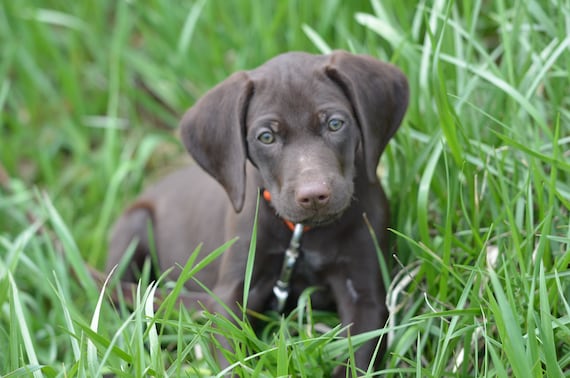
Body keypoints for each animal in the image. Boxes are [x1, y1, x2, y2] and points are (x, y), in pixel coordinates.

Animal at [106, 51, 406, 376]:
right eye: (266, 137)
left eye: (336, 124)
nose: (314, 195)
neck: (301, 234)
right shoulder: (234, 290)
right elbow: (231, 354)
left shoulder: (365, 295)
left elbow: (358, 358)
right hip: (134, 226)